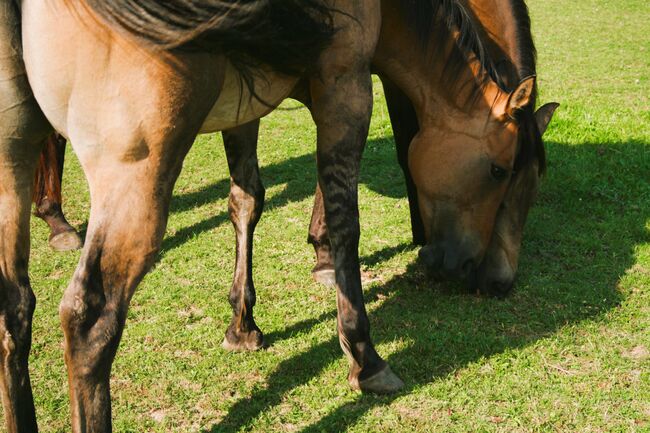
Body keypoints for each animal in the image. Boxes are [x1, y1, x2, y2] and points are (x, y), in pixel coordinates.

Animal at [1, 0, 496, 432]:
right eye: (501, 171)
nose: (490, 279)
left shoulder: (244, 103)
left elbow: (245, 202)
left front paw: (242, 325)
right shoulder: (346, 84)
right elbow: (345, 221)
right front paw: (363, 357)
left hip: (12, 163)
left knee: (15, 305)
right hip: (135, 179)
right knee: (89, 319)